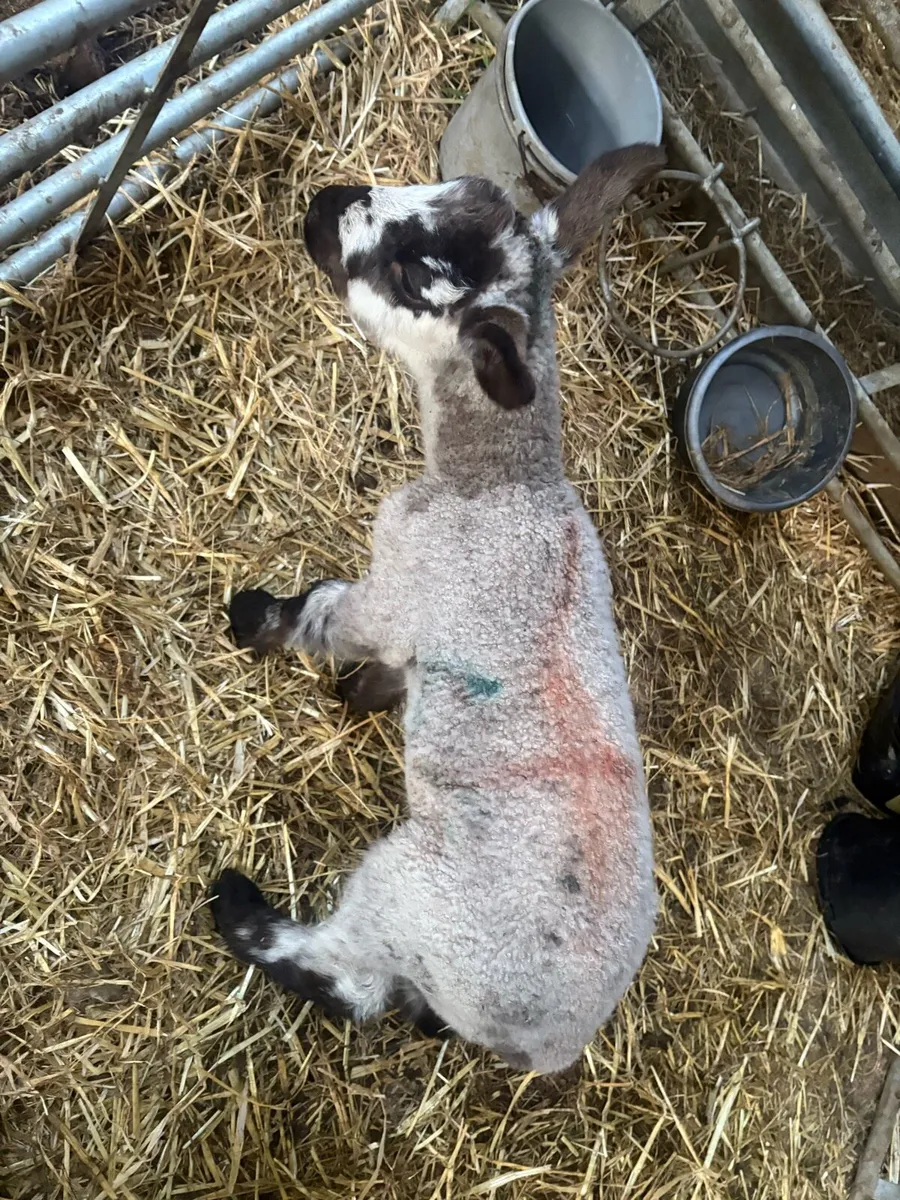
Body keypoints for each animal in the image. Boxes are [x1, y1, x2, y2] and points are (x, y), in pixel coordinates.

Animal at [210, 143, 666, 1074]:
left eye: (412, 272)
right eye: (453, 188)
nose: (325, 201)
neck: (494, 478)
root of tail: (545, 1040)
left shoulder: (395, 590)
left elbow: (323, 615)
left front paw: (253, 620)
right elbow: (390, 668)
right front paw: (367, 696)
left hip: (413, 899)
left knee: (347, 982)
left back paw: (238, 909)